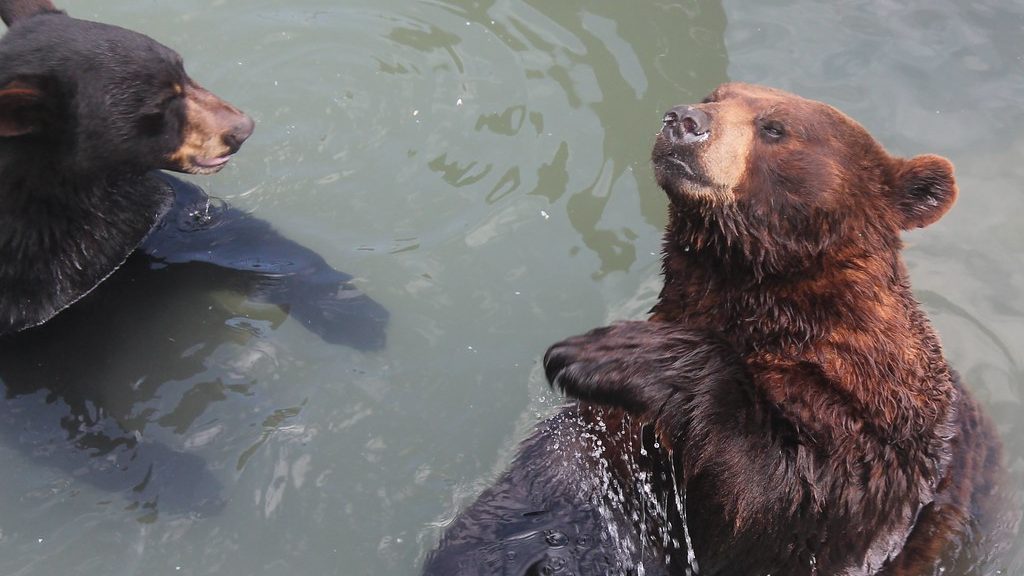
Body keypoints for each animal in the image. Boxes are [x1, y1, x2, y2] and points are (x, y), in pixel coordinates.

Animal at [421, 81, 999, 573]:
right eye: (714, 96)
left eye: (774, 127)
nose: (683, 120)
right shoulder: (608, 446)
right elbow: (553, 486)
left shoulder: (869, 431)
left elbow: (778, 505)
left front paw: (609, 355)